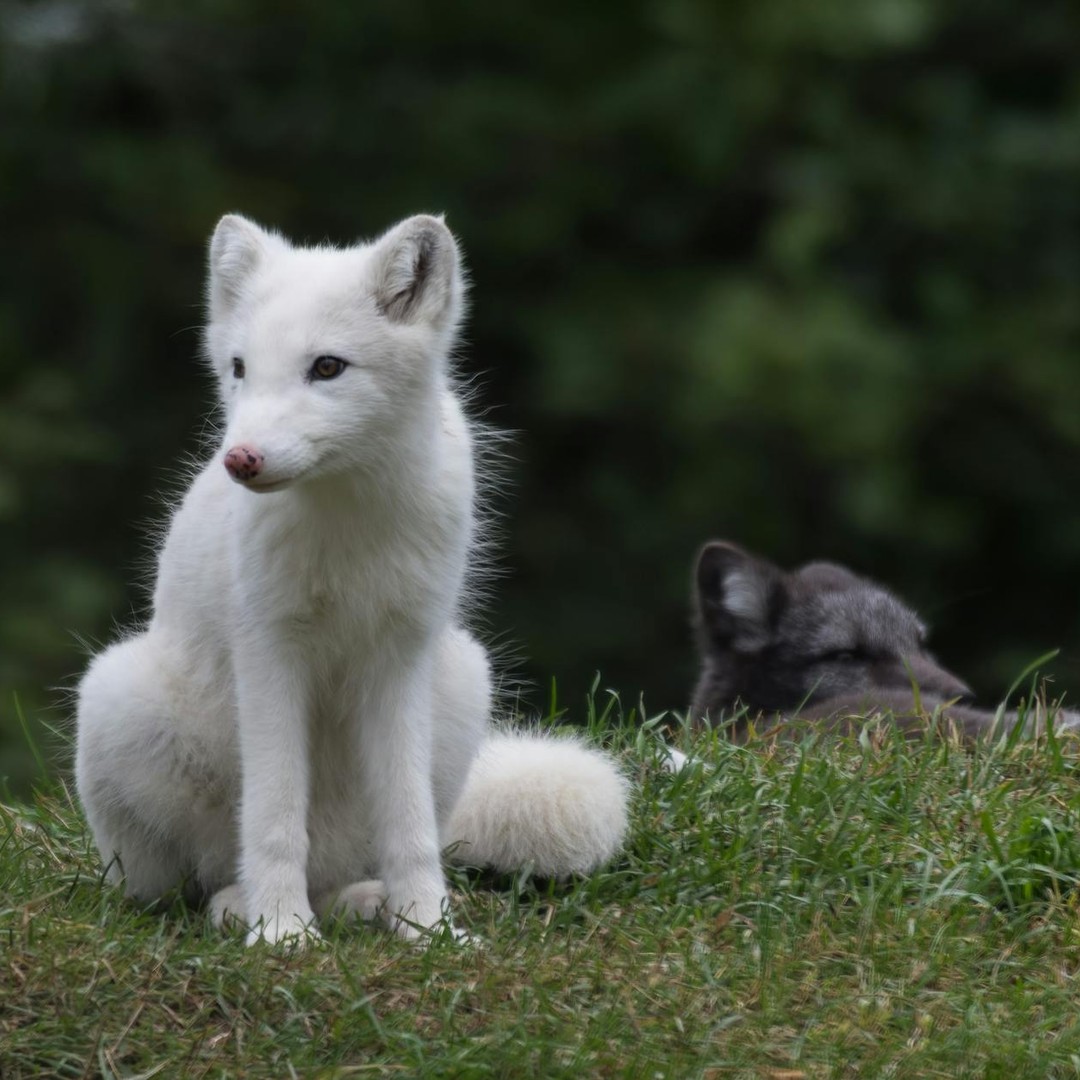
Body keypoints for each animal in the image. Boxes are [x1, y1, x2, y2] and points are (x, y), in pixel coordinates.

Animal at [75, 213, 628, 947]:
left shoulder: (400, 656)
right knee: (180, 888)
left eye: (327, 367)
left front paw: (431, 930)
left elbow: (411, 827)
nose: (240, 459)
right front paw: (281, 934)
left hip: (465, 677)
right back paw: (241, 907)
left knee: (360, 866)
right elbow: (275, 819)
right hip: (114, 697)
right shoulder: (269, 651)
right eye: (239, 368)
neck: (348, 520)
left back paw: (364, 904)